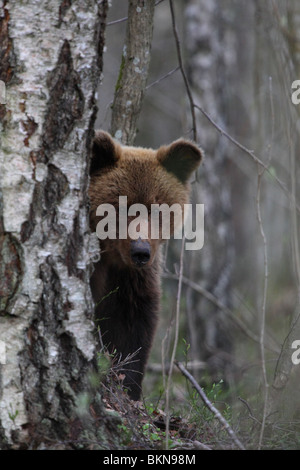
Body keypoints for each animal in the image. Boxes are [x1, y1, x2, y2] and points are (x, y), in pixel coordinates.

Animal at [88, 130, 202, 398]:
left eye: (158, 208)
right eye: (120, 206)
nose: (140, 251)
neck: (110, 255)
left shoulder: (132, 279)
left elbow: (133, 328)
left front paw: (128, 384)